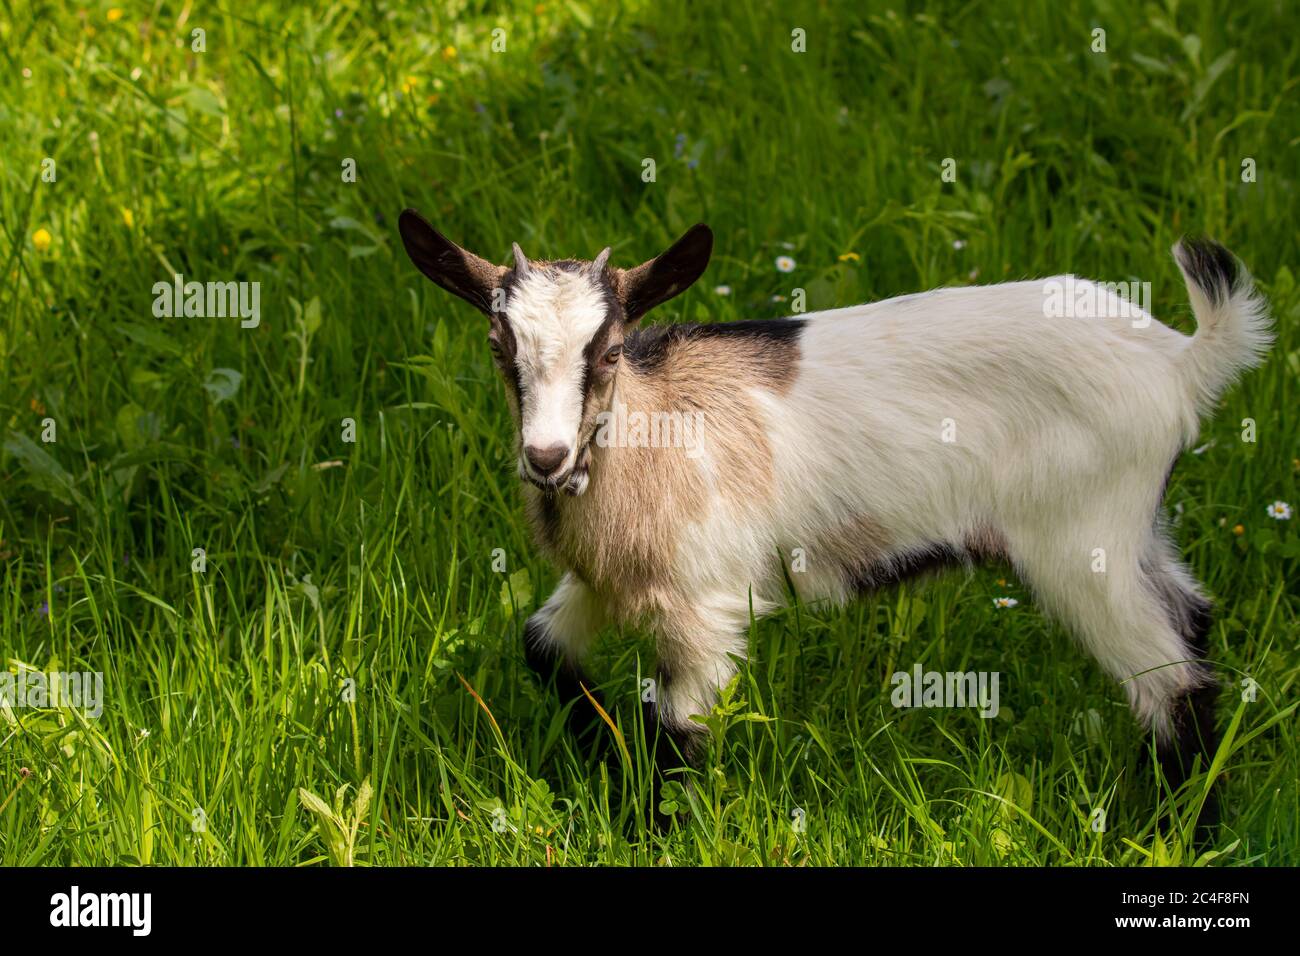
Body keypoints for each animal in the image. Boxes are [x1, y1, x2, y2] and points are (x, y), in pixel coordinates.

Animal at [398, 209, 1271, 815]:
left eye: (609, 351)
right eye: (500, 349)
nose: (546, 458)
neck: (653, 435)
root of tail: (1180, 361)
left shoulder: (705, 609)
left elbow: (677, 730)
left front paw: (654, 823)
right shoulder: (602, 584)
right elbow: (541, 646)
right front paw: (602, 756)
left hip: (1081, 544)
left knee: (1169, 682)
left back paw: (1171, 828)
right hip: (1135, 531)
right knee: (1193, 619)